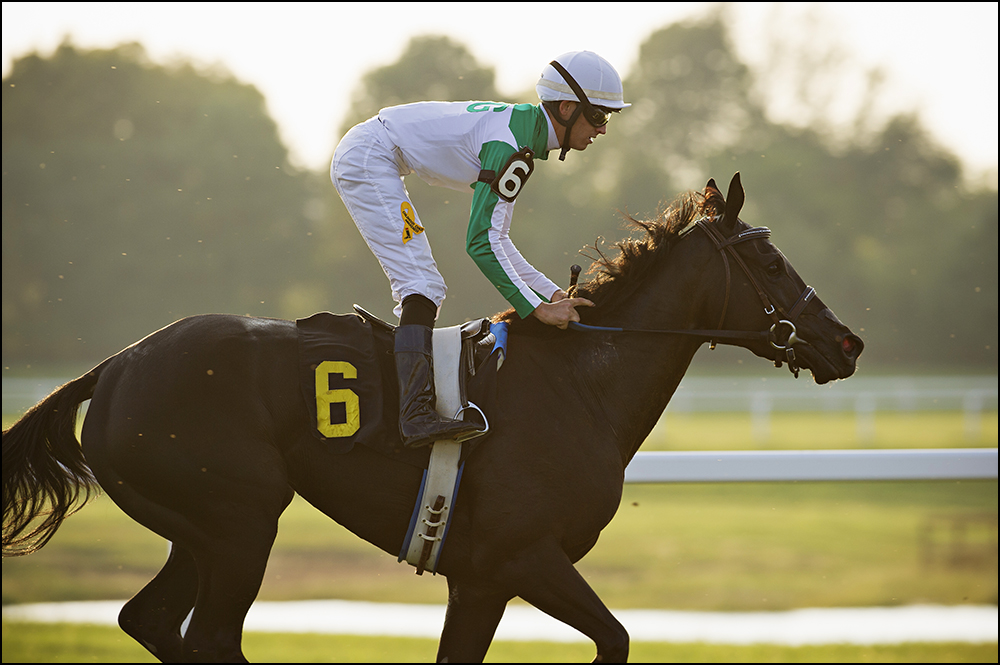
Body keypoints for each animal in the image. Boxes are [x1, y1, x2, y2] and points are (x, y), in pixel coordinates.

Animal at [3, 174, 860, 660]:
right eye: (771, 259)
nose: (846, 340)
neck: (578, 383)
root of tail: (114, 366)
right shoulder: (525, 557)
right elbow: (614, 637)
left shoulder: (479, 582)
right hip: (240, 522)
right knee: (210, 637)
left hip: (201, 529)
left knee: (151, 620)